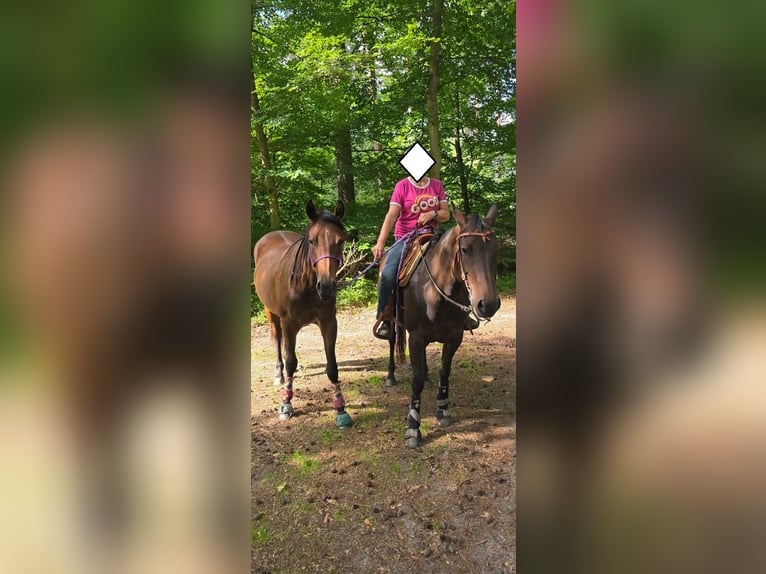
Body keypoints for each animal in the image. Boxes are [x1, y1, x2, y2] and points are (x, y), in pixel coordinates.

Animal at [253, 200, 353, 428]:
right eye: (312, 241)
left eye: (340, 241)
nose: (326, 287)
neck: (306, 286)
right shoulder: (289, 324)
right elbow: (290, 360)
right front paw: (286, 404)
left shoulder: (329, 322)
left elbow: (332, 366)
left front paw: (341, 409)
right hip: (271, 312)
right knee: (277, 340)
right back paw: (279, 374)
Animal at [379, 204, 501, 447]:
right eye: (465, 249)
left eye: (496, 249)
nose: (489, 304)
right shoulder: (416, 337)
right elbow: (415, 381)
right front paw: (413, 428)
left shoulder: (454, 336)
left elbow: (445, 371)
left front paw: (443, 410)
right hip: (393, 321)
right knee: (391, 342)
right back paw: (391, 376)